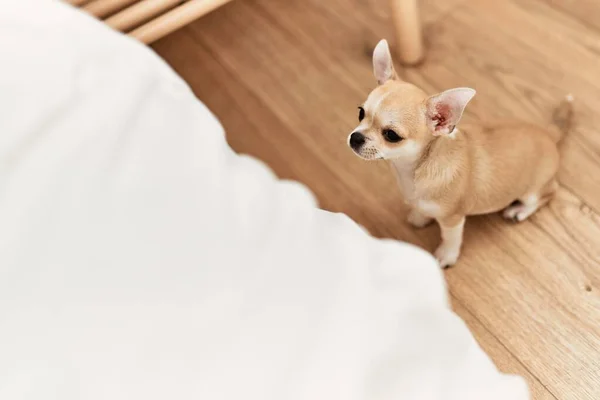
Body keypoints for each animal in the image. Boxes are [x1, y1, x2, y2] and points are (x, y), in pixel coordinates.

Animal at [350, 39, 576, 268]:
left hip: (531, 192)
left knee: (548, 194)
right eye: (360, 113)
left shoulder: (453, 220)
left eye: (391, 135)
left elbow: (450, 239)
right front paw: (420, 216)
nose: (355, 138)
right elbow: (422, 208)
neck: (416, 167)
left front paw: (446, 255)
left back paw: (519, 211)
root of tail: (549, 134)